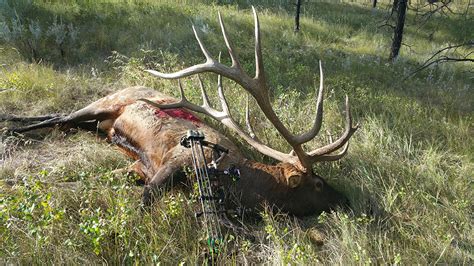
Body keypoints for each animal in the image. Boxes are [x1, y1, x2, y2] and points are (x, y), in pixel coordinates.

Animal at [2, 8, 360, 216]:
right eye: (318, 184)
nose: (346, 199)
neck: (235, 179)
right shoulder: (176, 161)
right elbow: (145, 201)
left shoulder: (139, 166)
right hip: (108, 101)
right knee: (60, 117)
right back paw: (10, 128)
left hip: (102, 124)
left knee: (62, 120)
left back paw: (9, 122)